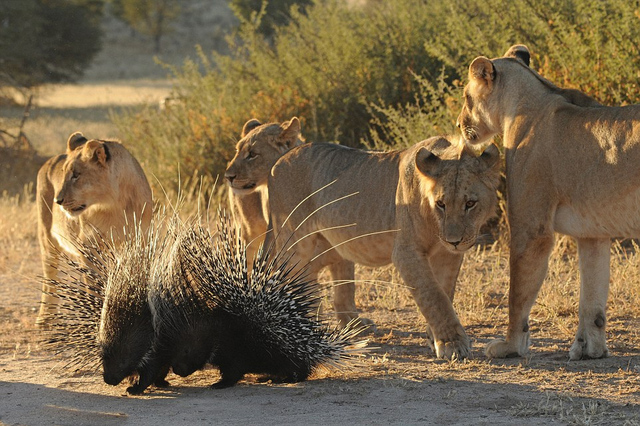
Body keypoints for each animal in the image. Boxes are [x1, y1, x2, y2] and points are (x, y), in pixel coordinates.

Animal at [36, 133, 152, 326]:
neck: (115, 205)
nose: (57, 201)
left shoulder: (139, 241)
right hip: (47, 237)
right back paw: (46, 317)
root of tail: (50, 160)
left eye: (76, 175)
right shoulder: (89, 245)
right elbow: (93, 286)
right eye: (64, 175)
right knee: (50, 276)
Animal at [264, 136, 500, 360]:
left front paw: (435, 337)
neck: (435, 225)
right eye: (441, 204)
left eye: (470, 204)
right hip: (296, 242)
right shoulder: (406, 253)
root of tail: (279, 161)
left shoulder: (447, 255)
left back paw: (350, 325)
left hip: (331, 245)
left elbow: (445, 292)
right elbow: (433, 296)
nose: (454, 241)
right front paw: (452, 343)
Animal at [458, 45, 636, 362]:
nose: (459, 124)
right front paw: (589, 349)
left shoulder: (531, 229)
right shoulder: (592, 233)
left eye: (467, 97)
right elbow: (592, 296)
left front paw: (510, 346)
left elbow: (517, 294)